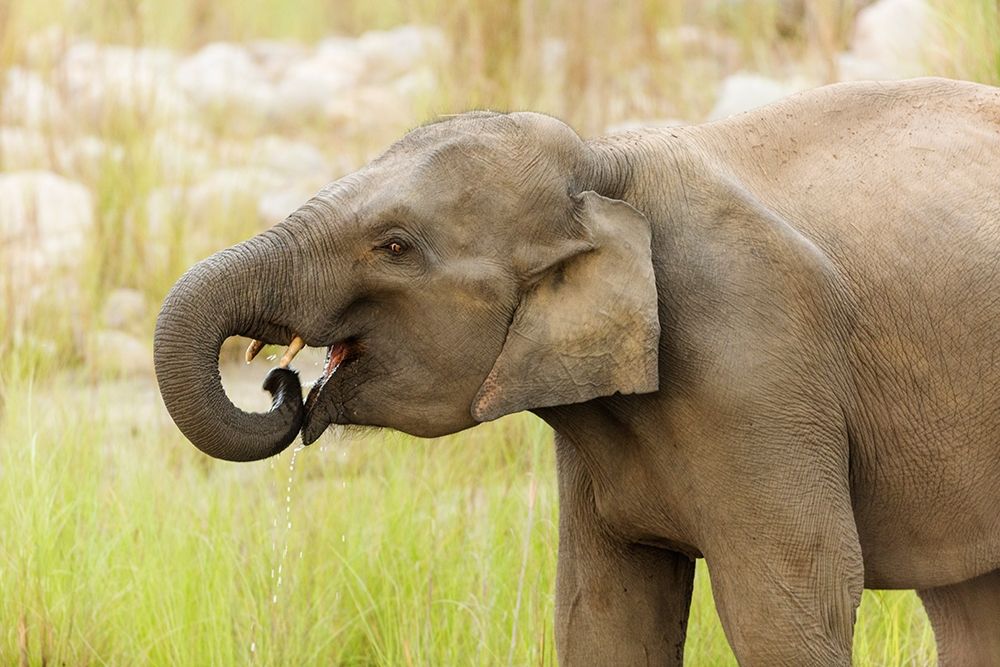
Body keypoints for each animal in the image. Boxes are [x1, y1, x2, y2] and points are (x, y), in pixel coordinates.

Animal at [154, 77, 1000, 665]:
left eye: (394, 246)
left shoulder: (759, 362)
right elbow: (605, 614)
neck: (605, 167)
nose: (282, 384)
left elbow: (789, 606)